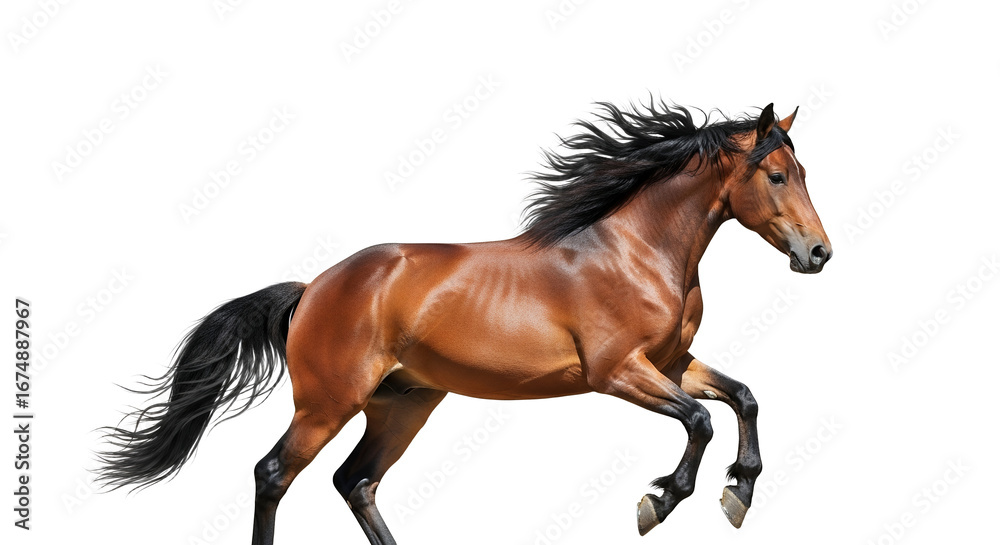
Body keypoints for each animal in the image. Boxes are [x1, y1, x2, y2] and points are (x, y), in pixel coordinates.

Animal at [96, 100, 831, 544]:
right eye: (775, 174)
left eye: (801, 170)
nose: (818, 253)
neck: (633, 250)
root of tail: (314, 288)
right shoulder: (618, 371)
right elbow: (700, 419)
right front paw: (661, 501)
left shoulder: (673, 364)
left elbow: (743, 397)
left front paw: (739, 490)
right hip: (329, 403)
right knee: (274, 471)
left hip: (403, 403)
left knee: (354, 480)